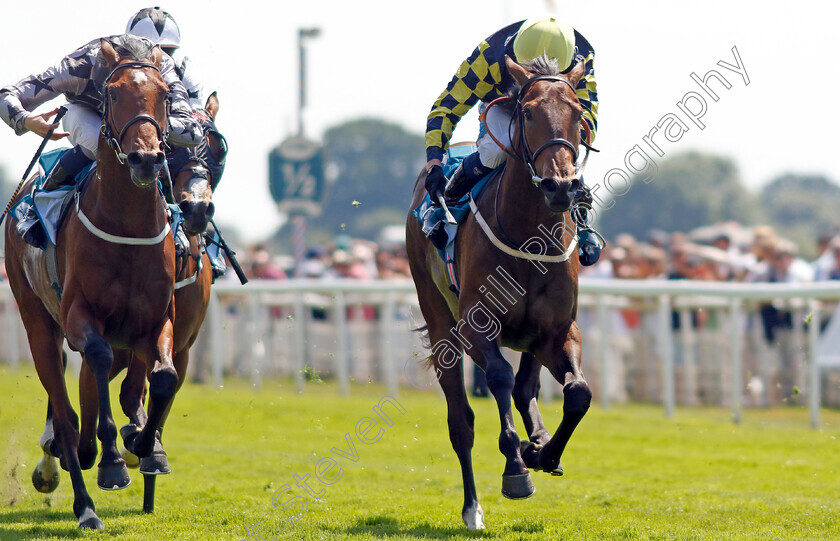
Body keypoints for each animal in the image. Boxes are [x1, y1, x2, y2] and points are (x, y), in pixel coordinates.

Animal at [5, 38, 179, 528]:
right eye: (113, 94)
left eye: (165, 95)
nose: (145, 159)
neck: (128, 225)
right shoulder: (81, 315)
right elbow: (96, 363)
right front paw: (114, 462)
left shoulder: (156, 320)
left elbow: (164, 377)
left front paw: (144, 445)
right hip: (37, 323)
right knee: (65, 415)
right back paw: (84, 503)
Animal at [406, 56, 592, 532]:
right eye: (526, 112)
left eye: (578, 113)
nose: (561, 186)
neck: (530, 239)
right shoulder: (475, 327)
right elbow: (499, 380)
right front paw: (516, 469)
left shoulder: (558, 330)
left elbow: (577, 394)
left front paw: (543, 452)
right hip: (440, 322)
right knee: (462, 421)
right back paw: (473, 508)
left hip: (529, 337)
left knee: (527, 387)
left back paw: (538, 440)